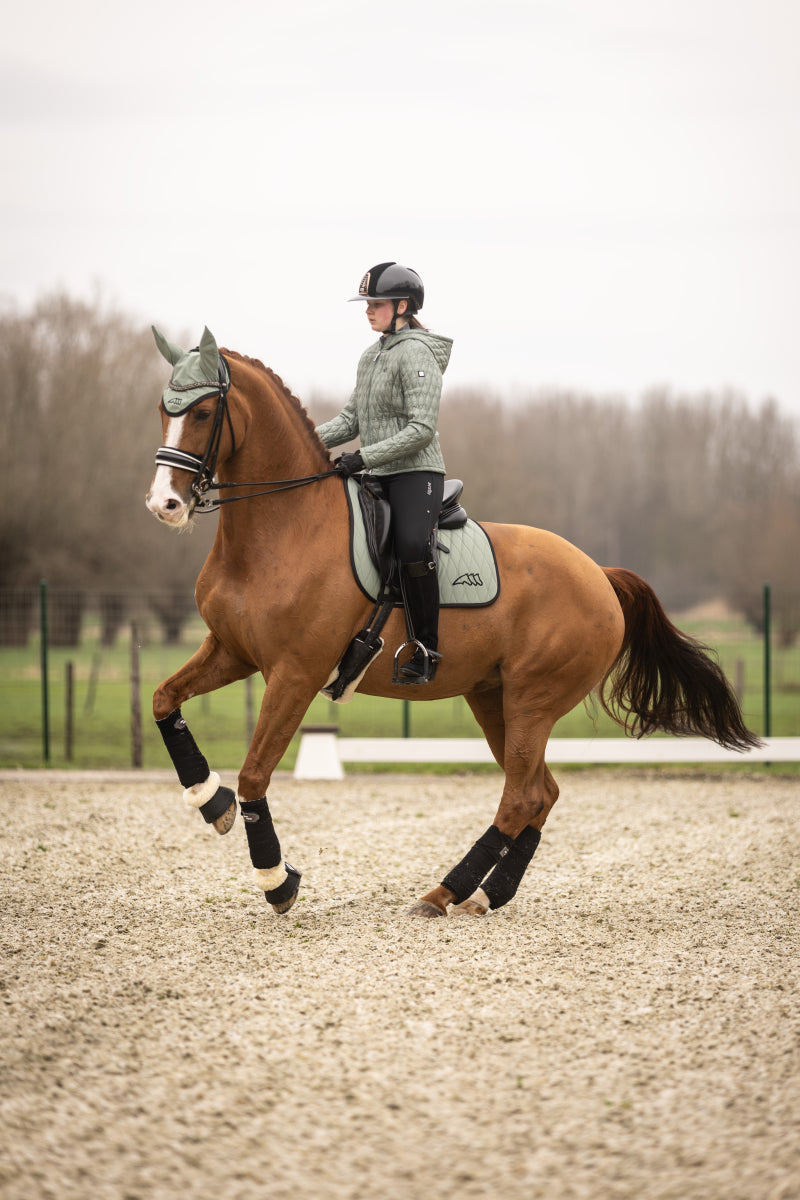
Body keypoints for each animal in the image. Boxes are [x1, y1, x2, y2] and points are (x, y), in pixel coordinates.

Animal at [145, 328, 762, 916]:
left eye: (204, 413)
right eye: (163, 408)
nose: (164, 505)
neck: (282, 529)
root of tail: (598, 574)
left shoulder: (295, 673)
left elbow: (254, 773)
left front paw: (277, 881)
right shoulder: (232, 651)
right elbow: (163, 700)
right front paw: (209, 799)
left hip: (532, 699)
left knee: (521, 796)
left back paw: (442, 893)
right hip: (493, 697)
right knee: (541, 792)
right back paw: (487, 894)